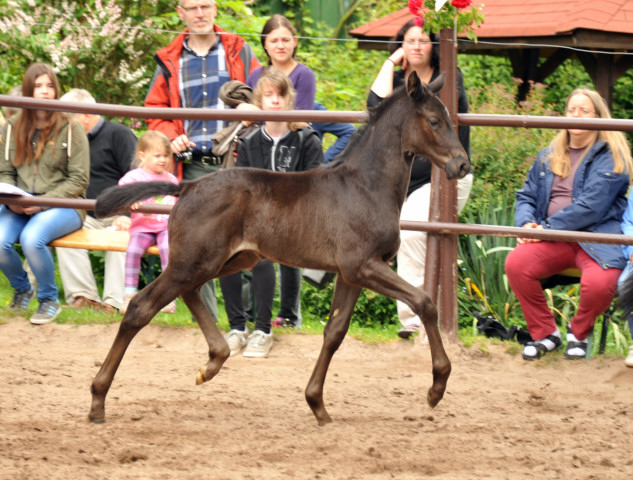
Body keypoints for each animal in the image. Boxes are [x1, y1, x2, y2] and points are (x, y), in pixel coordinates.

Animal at [91, 71, 472, 424]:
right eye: (434, 121)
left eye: (449, 117)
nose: (462, 164)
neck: (366, 186)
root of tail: (187, 187)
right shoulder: (363, 265)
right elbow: (424, 303)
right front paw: (436, 388)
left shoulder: (352, 274)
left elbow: (334, 333)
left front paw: (317, 404)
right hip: (194, 262)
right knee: (141, 307)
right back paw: (98, 399)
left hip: (227, 260)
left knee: (190, 293)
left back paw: (212, 363)